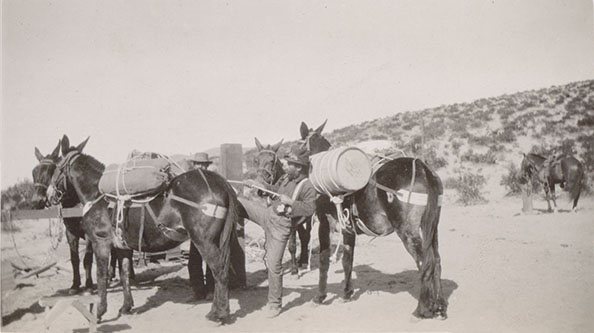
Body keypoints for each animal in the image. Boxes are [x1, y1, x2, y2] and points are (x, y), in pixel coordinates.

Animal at [32, 139, 94, 294]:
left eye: (50, 170)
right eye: (34, 172)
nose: (36, 201)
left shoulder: (90, 234)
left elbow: (88, 258)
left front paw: (89, 285)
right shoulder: (70, 233)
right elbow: (74, 259)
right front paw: (75, 285)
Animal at [46, 134, 238, 322]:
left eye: (56, 167)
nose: (49, 196)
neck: (98, 195)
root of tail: (219, 181)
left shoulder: (100, 242)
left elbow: (101, 276)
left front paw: (99, 312)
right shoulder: (122, 247)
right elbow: (124, 274)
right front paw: (126, 307)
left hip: (203, 241)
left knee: (220, 270)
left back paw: (218, 313)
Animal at [300, 120, 444, 318]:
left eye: (299, 145)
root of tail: (422, 168)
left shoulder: (324, 224)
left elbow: (323, 261)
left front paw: (320, 296)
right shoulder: (348, 228)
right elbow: (347, 260)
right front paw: (347, 293)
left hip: (408, 231)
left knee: (425, 263)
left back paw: (422, 309)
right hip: (432, 226)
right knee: (436, 261)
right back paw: (439, 307)